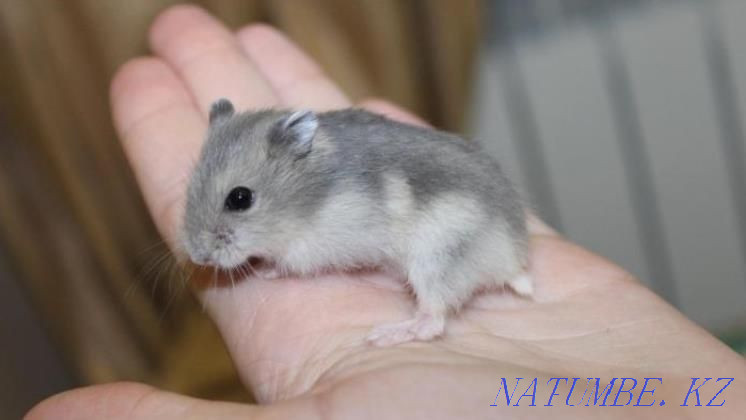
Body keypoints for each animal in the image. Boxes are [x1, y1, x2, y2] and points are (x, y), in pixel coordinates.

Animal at [182, 99, 532, 346]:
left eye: (240, 198)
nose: (197, 256)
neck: (303, 198)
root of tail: (513, 258)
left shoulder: (305, 251)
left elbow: (285, 265)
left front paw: (264, 271)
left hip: (434, 262)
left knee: (432, 322)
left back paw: (383, 336)